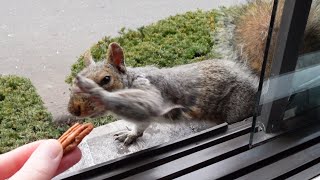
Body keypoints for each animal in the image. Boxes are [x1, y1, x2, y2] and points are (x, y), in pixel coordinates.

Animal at [66, 0, 318, 144]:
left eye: (106, 79)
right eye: (73, 83)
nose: (74, 110)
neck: (129, 83)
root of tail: (258, 82)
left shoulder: (148, 95)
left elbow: (141, 124)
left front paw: (130, 134)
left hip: (238, 107)